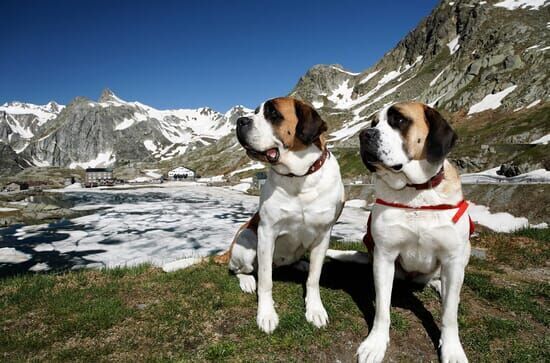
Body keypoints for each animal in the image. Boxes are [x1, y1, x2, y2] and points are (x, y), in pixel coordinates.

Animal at [222, 97, 348, 336]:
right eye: (256, 112)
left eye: (273, 113)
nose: (241, 121)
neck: (299, 178)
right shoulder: (267, 232)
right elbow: (265, 281)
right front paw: (266, 314)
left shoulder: (323, 236)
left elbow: (314, 279)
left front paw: (315, 309)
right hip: (247, 241)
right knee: (239, 269)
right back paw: (247, 281)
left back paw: (301, 265)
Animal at [358, 101, 474, 363]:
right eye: (373, 122)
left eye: (399, 120)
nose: (363, 134)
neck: (415, 192)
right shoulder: (384, 256)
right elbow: (382, 309)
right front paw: (376, 343)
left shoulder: (452, 258)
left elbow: (449, 315)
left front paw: (452, 349)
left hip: (465, 252)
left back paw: (442, 286)